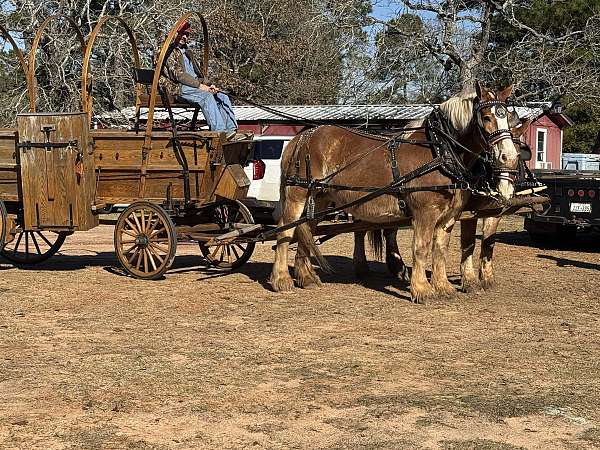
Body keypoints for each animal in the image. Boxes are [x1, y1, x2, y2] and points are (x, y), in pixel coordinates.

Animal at [272, 83, 520, 302]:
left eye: (507, 117)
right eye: (486, 117)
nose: (508, 157)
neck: (440, 151)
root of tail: (300, 138)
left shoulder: (449, 216)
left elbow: (441, 249)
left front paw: (443, 287)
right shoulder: (425, 213)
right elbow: (421, 248)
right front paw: (422, 290)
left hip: (320, 199)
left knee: (307, 229)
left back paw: (306, 277)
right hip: (297, 194)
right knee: (285, 230)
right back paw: (281, 279)